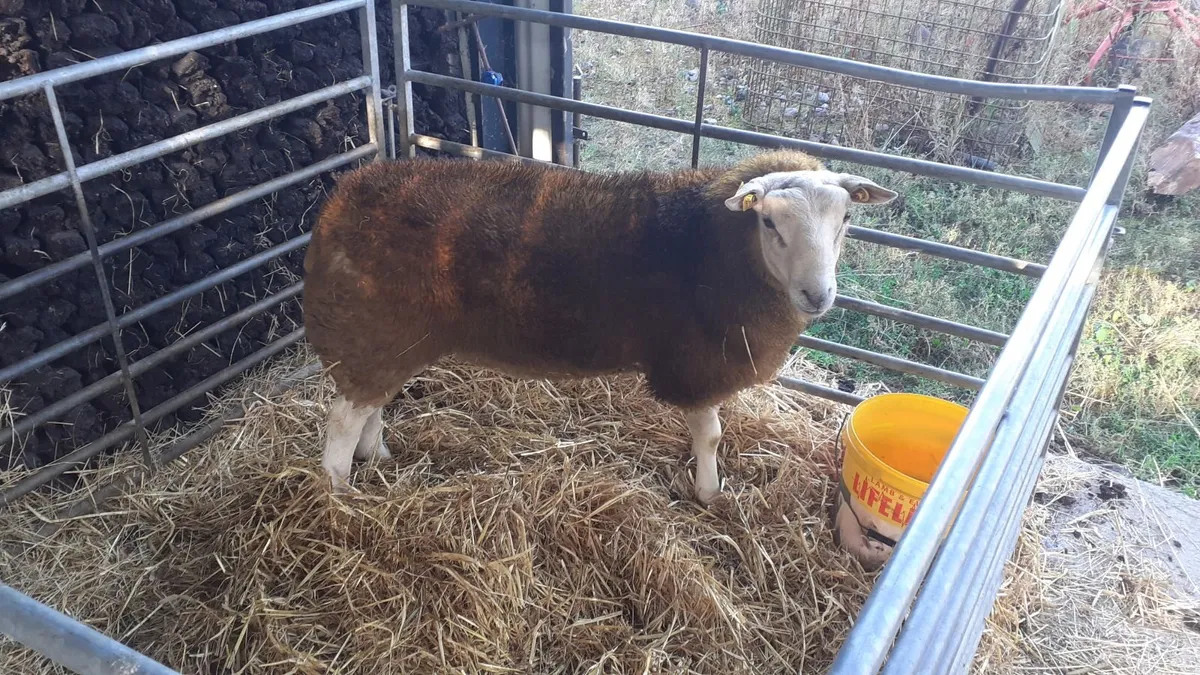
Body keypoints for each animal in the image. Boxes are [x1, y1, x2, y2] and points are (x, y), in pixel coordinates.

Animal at [303, 150, 896, 504]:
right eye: (769, 222)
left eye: (846, 219)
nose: (817, 296)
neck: (713, 247)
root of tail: (343, 196)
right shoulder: (696, 366)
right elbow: (710, 436)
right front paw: (709, 493)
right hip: (373, 325)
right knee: (343, 418)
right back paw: (336, 492)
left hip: (387, 336)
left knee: (371, 404)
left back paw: (376, 457)